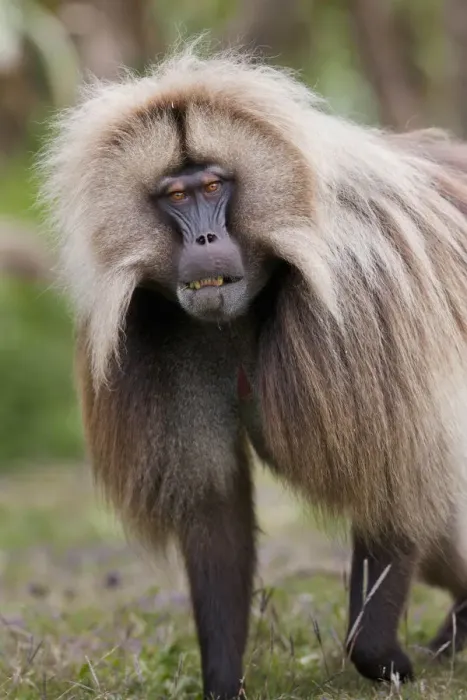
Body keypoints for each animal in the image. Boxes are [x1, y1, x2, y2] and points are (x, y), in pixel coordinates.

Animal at [38, 43, 467, 698]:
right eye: (177, 196)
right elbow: (216, 511)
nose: (206, 241)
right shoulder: (167, 337)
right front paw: (223, 683)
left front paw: (385, 659)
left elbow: (395, 480)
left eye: (215, 185)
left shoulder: (363, 303)